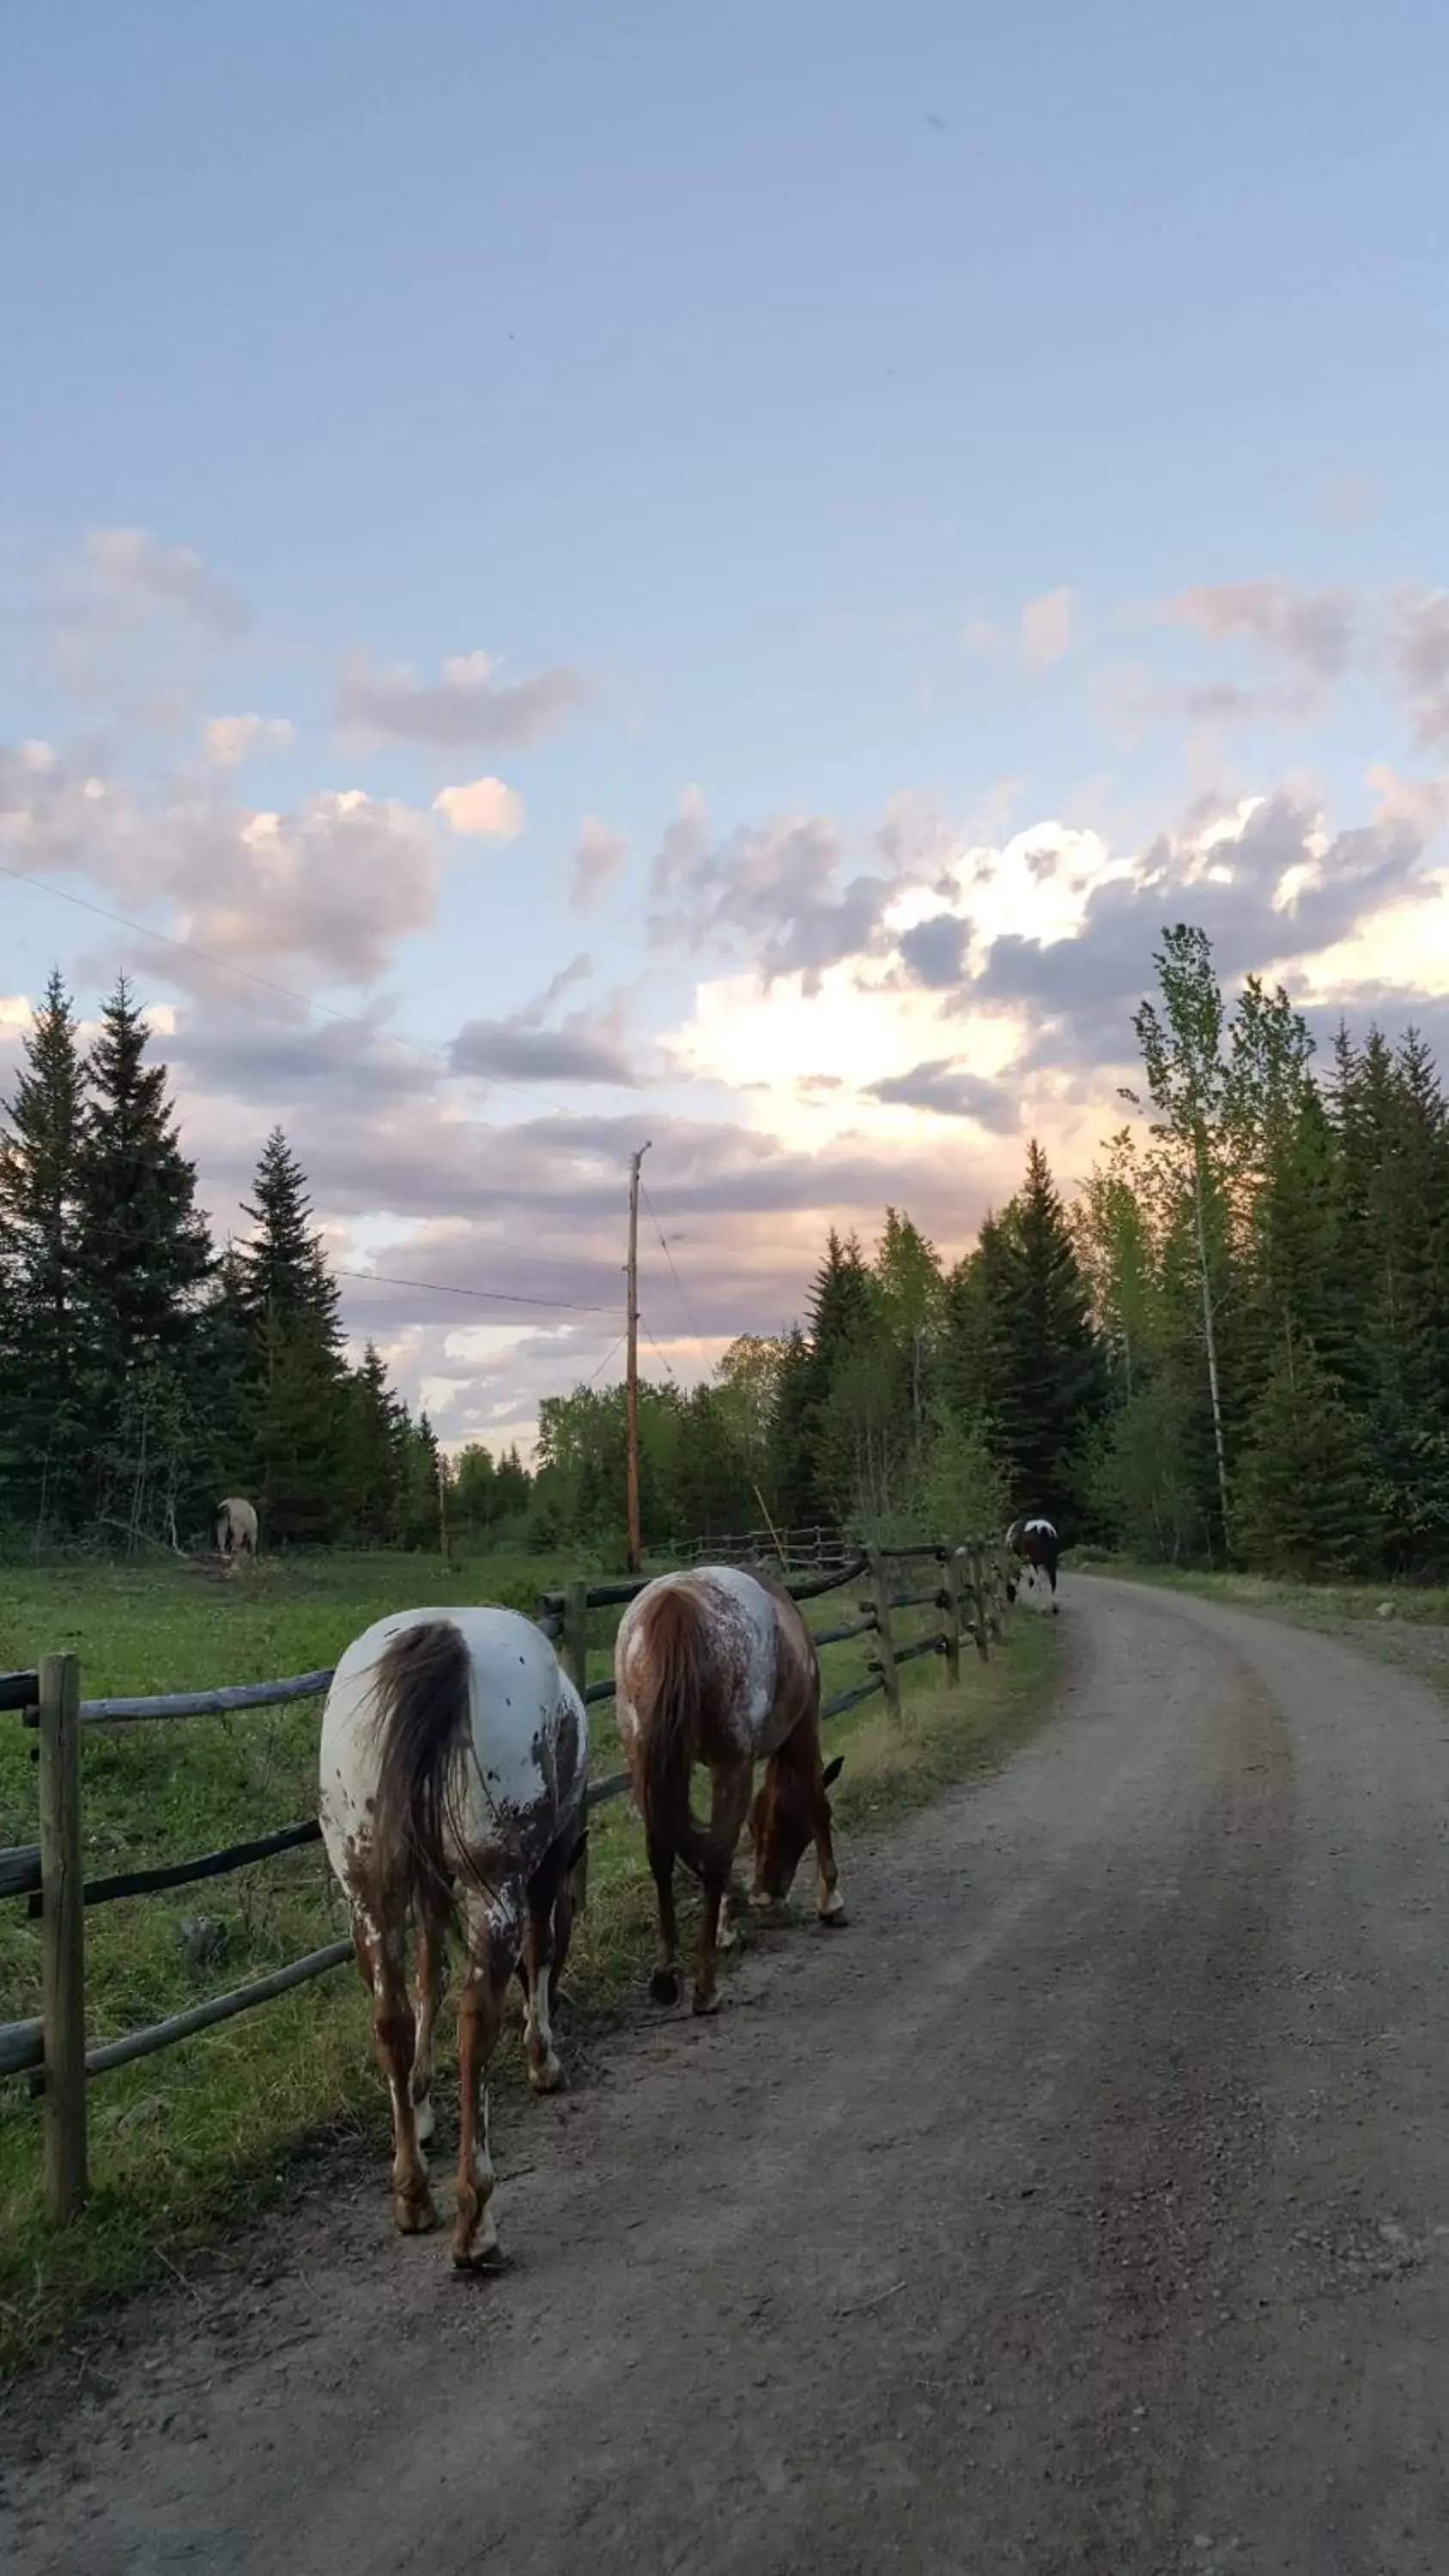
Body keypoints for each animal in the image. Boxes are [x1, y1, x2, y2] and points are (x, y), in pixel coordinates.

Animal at [320, 1607, 586, 2277]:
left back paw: (413, 2193)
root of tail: (442, 1638)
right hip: (494, 1890)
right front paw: (543, 2058)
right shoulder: (544, 1870)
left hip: (370, 1895)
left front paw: (418, 2104)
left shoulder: (424, 1888)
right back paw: (475, 2222)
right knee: (476, 2025)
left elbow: (428, 1975)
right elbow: (541, 1951)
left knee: (388, 2018)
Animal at [615, 1556, 844, 2020]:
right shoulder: (801, 1731)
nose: (766, 1893)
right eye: (790, 1830)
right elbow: (817, 1803)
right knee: (717, 1853)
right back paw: (706, 1986)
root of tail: (675, 1605)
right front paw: (831, 1898)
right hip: (733, 1763)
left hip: (647, 1760)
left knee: (663, 1851)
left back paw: (668, 1973)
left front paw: (724, 1926)